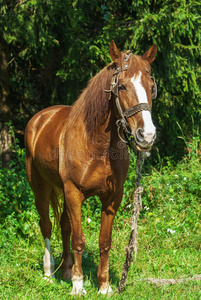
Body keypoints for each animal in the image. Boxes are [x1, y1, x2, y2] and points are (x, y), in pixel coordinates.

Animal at [24, 40, 157, 296]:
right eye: (122, 86)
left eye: (151, 86)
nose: (146, 135)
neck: (97, 145)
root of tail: (39, 119)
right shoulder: (75, 193)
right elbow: (79, 240)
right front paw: (78, 286)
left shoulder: (112, 198)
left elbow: (104, 241)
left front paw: (104, 286)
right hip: (40, 188)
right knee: (47, 226)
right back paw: (49, 273)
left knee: (64, 226)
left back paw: (65, 271)